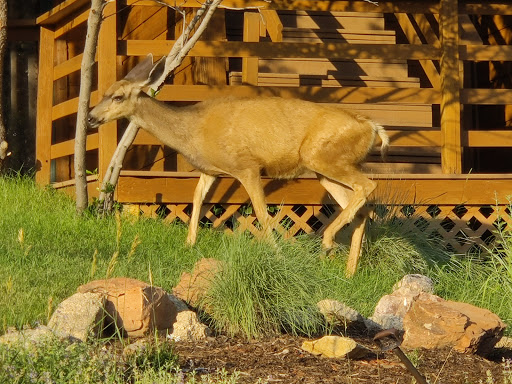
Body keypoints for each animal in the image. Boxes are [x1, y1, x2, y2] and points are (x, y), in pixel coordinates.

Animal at [89, 54, 388, 276]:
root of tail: (372, 127)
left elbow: (261, 212)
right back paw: (349, 271)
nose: (91, 117)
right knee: (362, 207)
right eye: (104, 93)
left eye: (118, 97)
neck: (191, 130)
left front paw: (277, 255)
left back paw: (327, 241)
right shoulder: (210, 170)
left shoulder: (247, 166)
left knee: (367, 185)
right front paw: (189, 244)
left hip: (321, 157)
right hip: (323, 169)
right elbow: (197, 198)